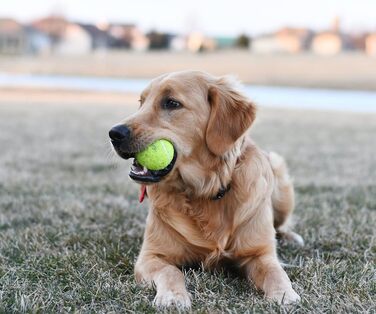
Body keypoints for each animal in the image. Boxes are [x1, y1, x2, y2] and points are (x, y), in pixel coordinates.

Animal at [108, 70, 302, 308]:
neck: (205, 191)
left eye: (171, 103)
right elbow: (171, 272)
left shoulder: (260, 254)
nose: (114, 133)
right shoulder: (151, 256)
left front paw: (285, 294)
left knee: (281, 224)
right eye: (141, 102)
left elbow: (276, 273)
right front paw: (173, 296)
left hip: (279, 173)